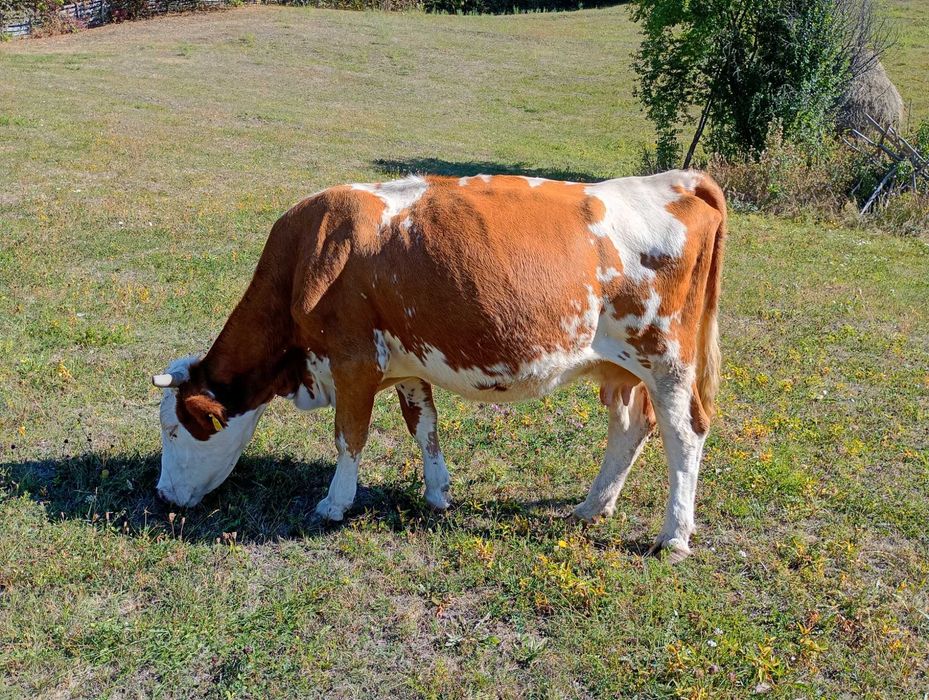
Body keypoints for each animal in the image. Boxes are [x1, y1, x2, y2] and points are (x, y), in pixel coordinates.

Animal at [152, 169, 725, 561]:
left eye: (176, 430)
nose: (163, 496)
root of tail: (677, 179)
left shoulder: (353, 362)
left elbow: (349, 437)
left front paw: (334, 503)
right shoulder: (408, 368)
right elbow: (423, 427)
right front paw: (437, 492)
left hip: (666, 359)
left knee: (684, 433)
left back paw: (674, 535)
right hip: (621, 367)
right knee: (630, 427)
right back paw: (592, 507)